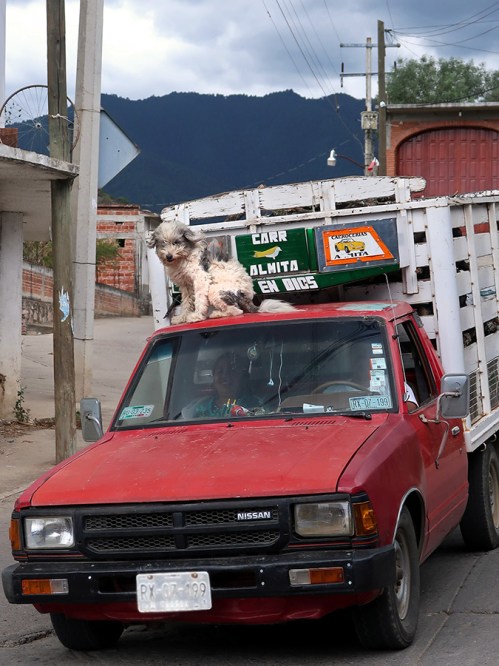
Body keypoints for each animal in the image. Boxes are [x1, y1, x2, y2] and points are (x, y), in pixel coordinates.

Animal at [147, 220, 294, 324]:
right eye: (163, 243)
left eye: (176, 242)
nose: (169, 256)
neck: (185, 255)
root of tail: (248, 298)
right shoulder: (186, 285)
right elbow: (187, 303)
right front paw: (182, 318)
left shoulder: (200, 278)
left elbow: (199, 299)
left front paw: (197, 316)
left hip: (215, 291)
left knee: (237, 311)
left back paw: (214, 314)